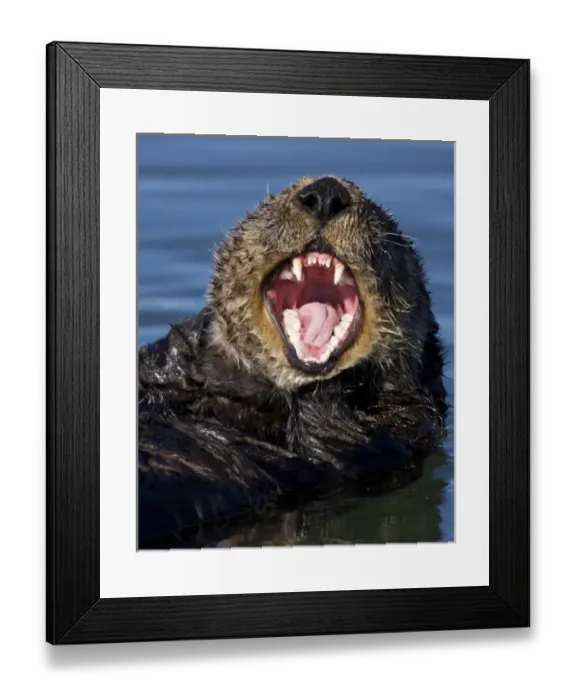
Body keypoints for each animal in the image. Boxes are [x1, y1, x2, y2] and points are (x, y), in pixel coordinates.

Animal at [138, 176, 448, 547]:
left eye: (383, 221)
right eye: (273, 201)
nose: (327, 193)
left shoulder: (402, 431)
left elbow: (338, 437)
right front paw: (193, 336)